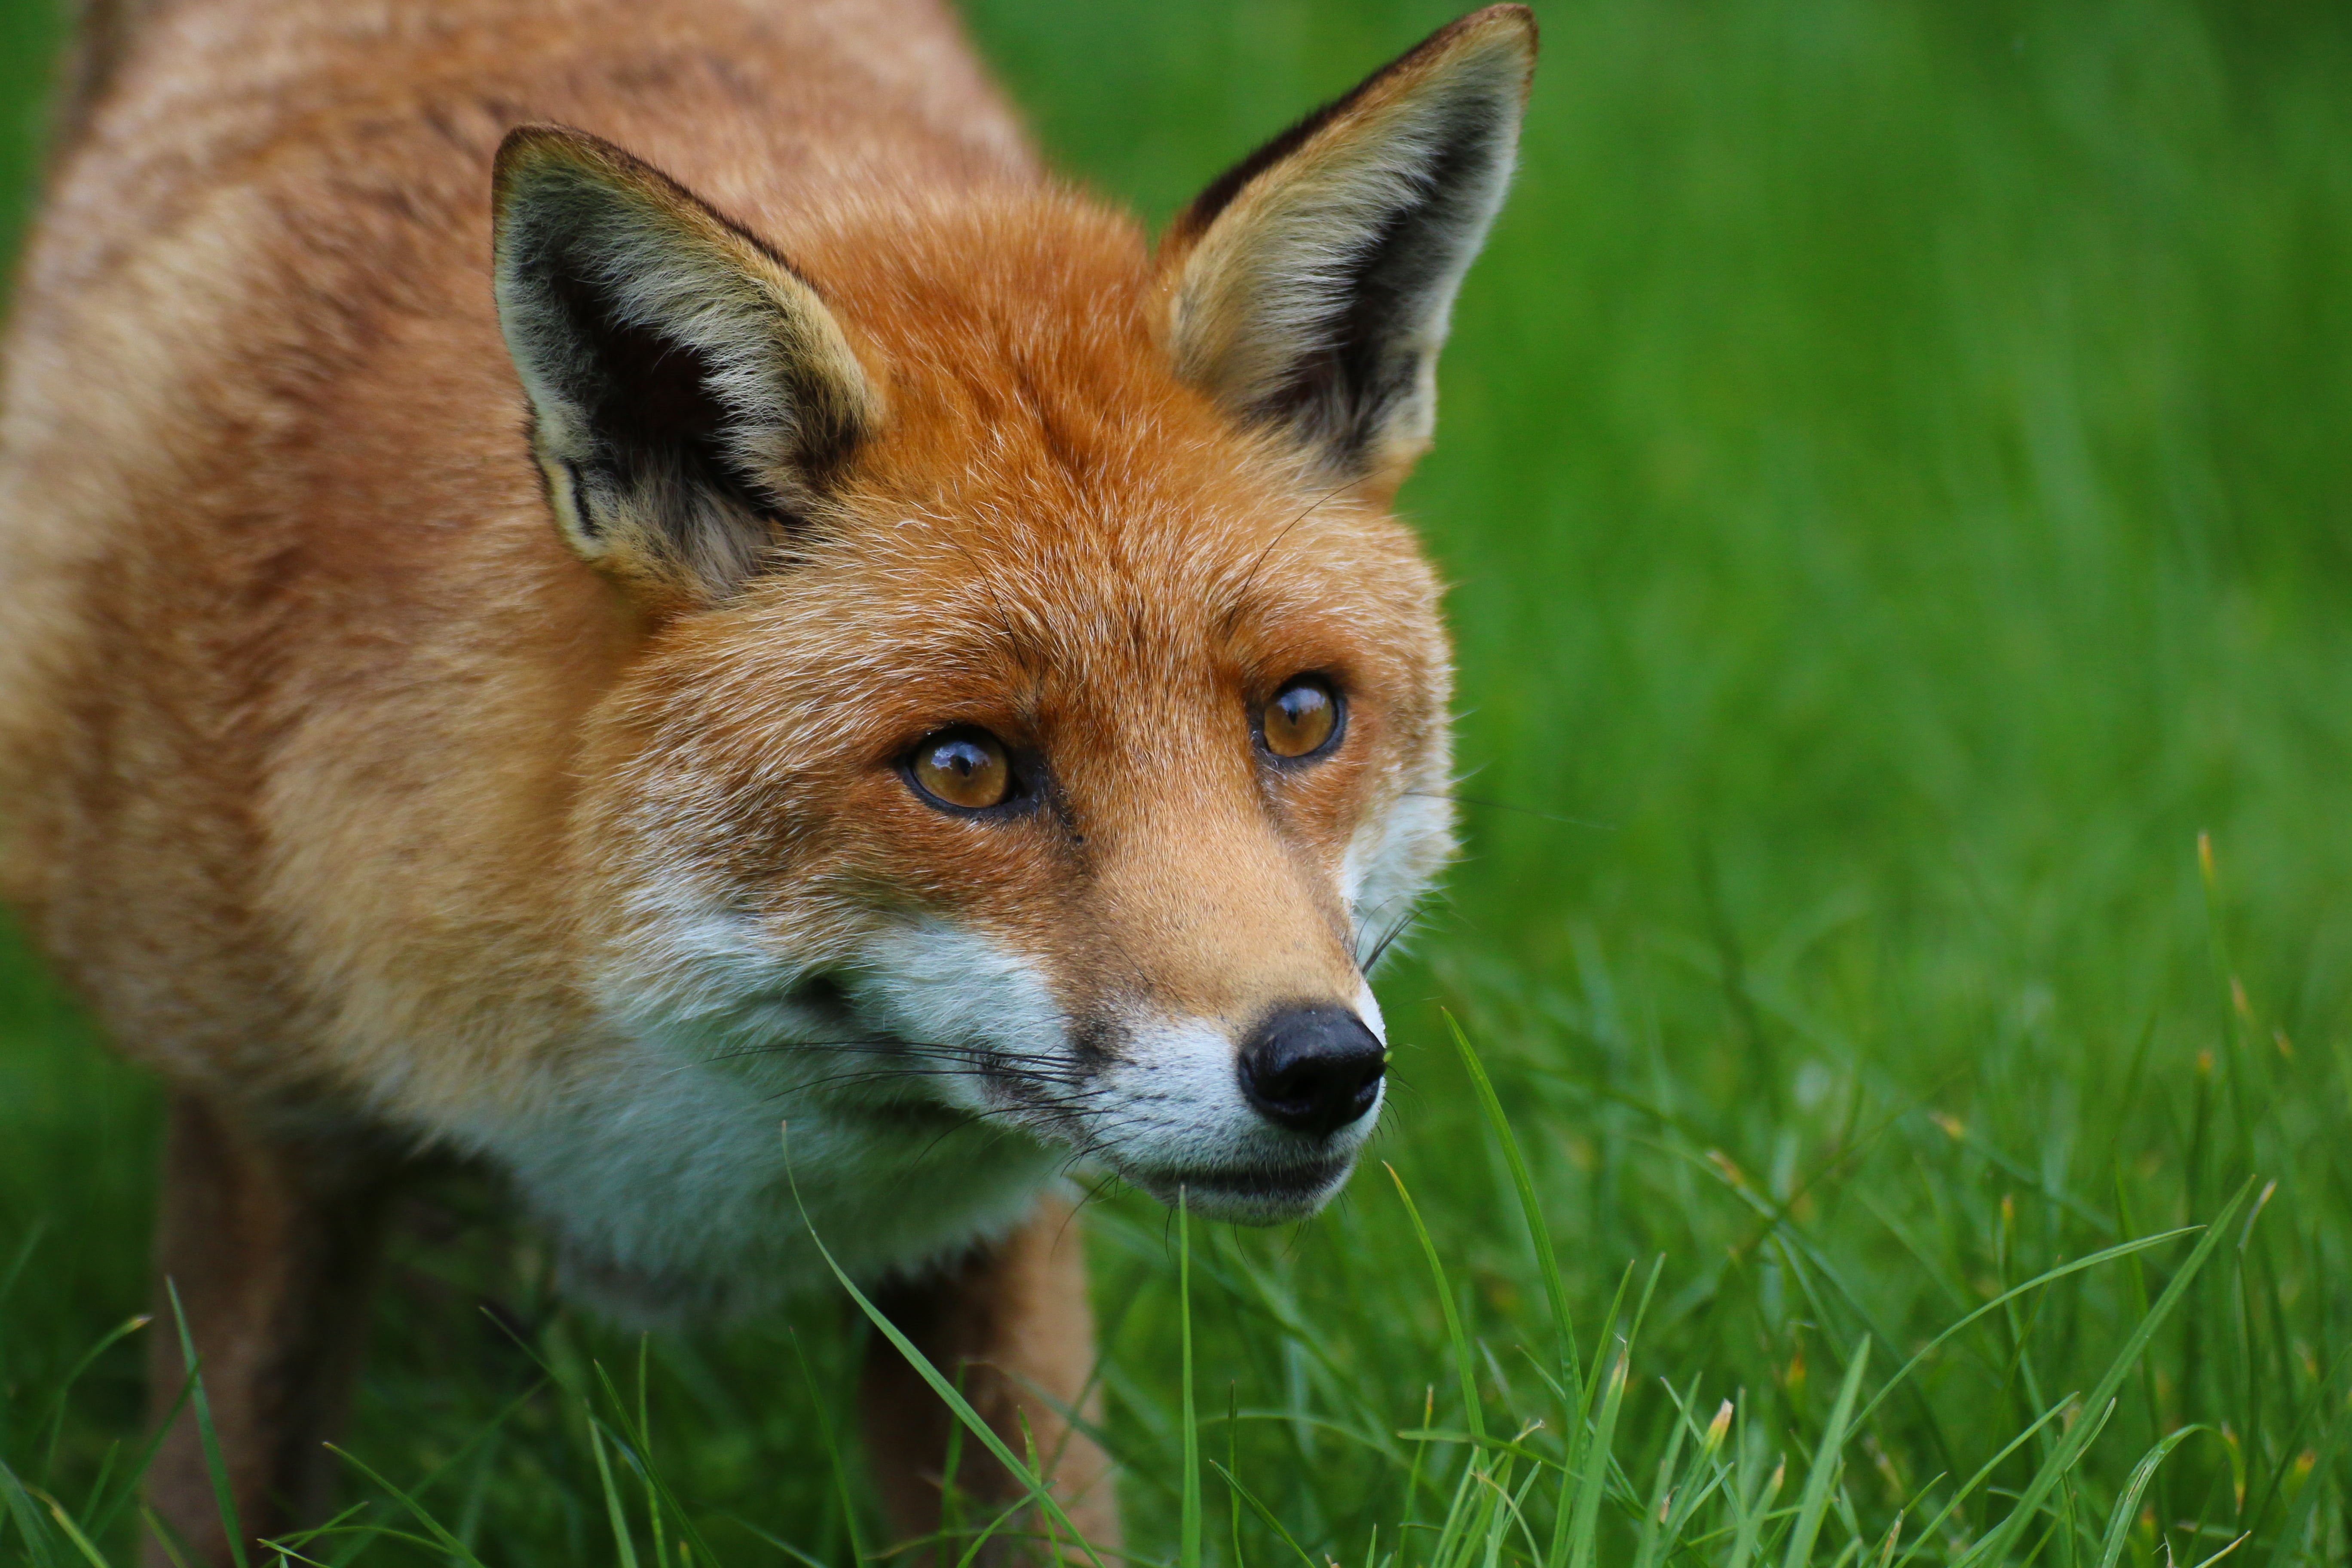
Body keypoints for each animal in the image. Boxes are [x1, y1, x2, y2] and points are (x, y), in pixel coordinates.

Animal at [0, 0, 1535, 1560]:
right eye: (964, 767)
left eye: (1298, 717)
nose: (1321, 1067)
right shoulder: (260, 1123)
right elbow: (222, 1490)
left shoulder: (985, 1240)